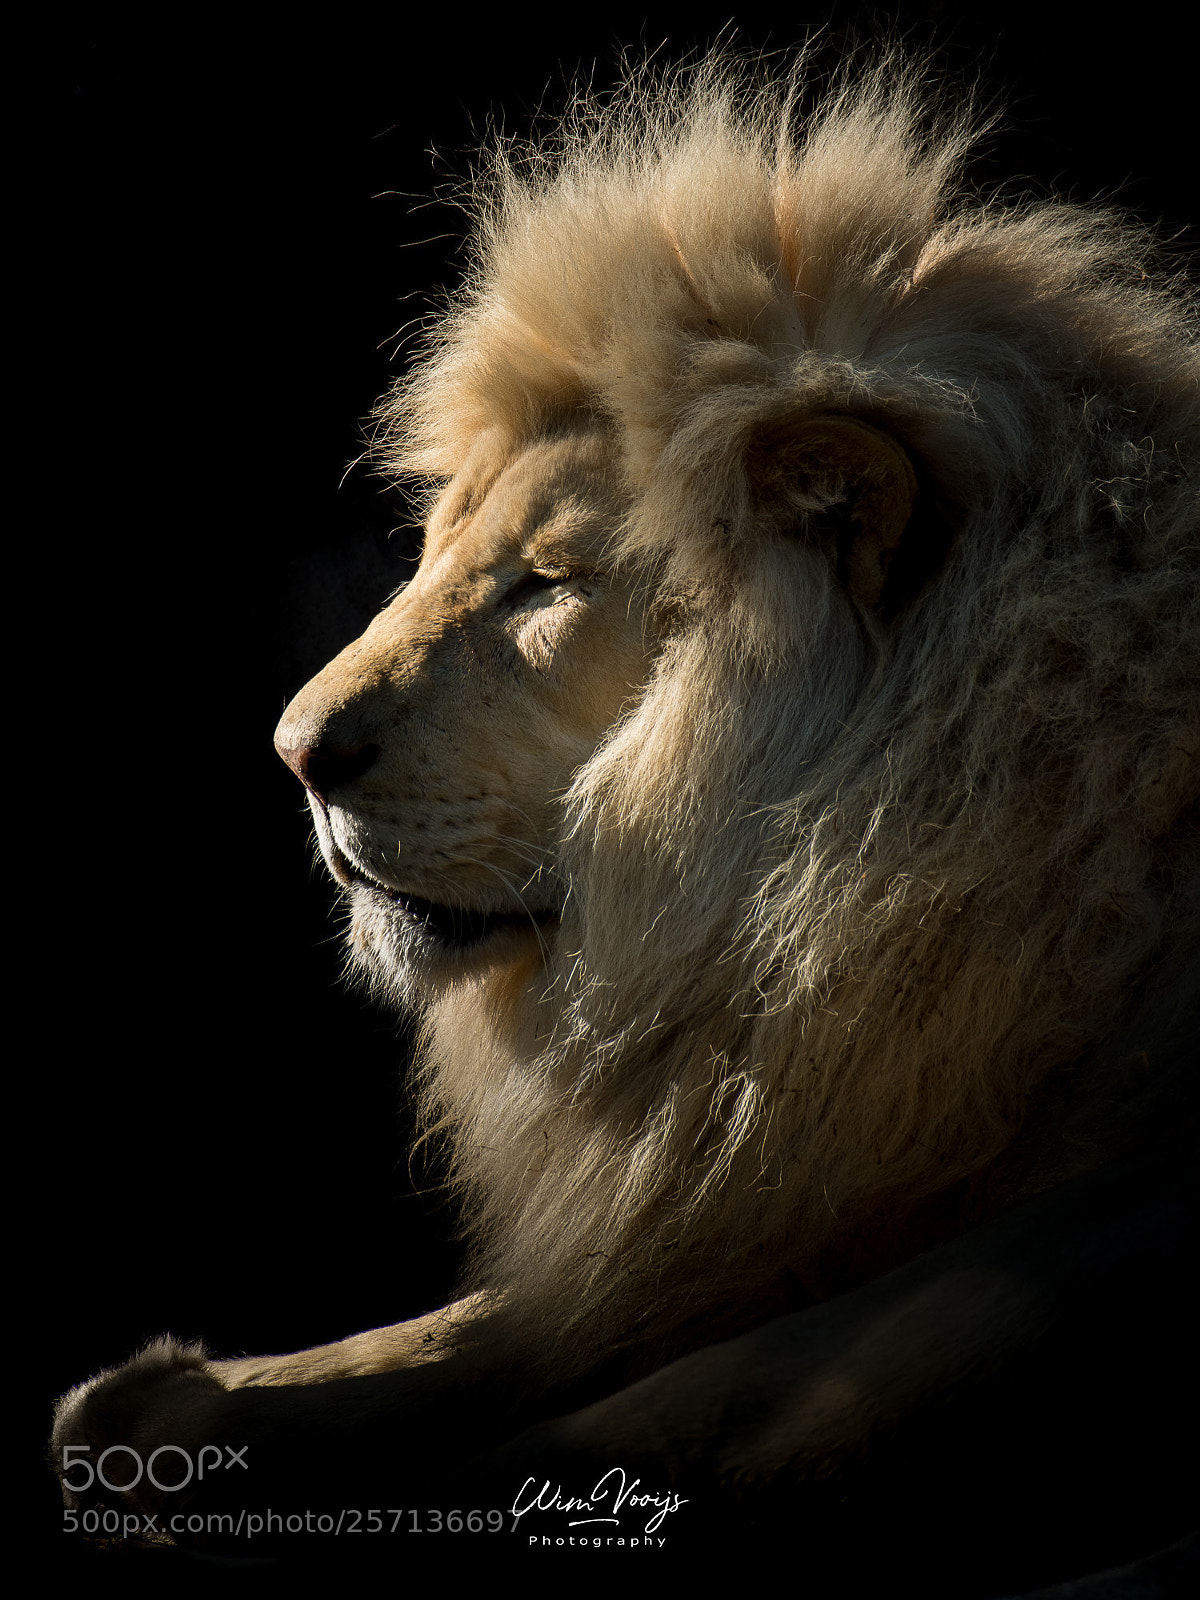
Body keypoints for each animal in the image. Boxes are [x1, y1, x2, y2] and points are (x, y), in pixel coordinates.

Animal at [54, 55, 1198, 1588]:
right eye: (436, 549)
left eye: (545, 584)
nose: (294, 755)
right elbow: (519, 1321)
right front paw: (179, 1405)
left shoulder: (1080, 1221)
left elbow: (764, 1385)